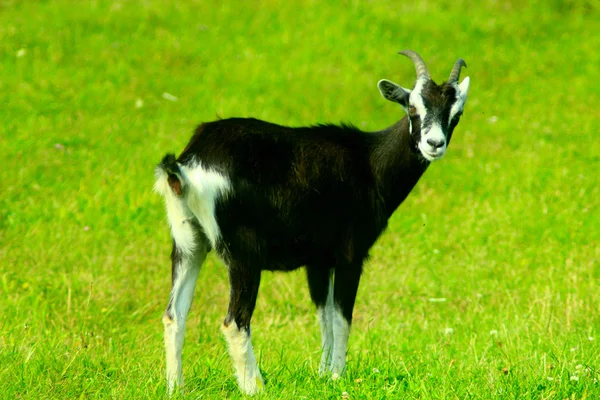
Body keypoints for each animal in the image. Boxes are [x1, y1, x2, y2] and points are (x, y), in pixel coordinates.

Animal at [154, 49, 468, 394]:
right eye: (413, 107)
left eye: (456, 113)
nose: (434, 144)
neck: (369, 163)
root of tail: (188, 163)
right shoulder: (350, 255)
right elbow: (342, 317)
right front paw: (337, 376)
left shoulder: (318, 261)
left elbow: (324, 317)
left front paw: (322, 375)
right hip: (243, 254)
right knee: (235, 321)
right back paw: (255, 387)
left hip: (188, 243)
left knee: (174, 315)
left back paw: (176, 388)